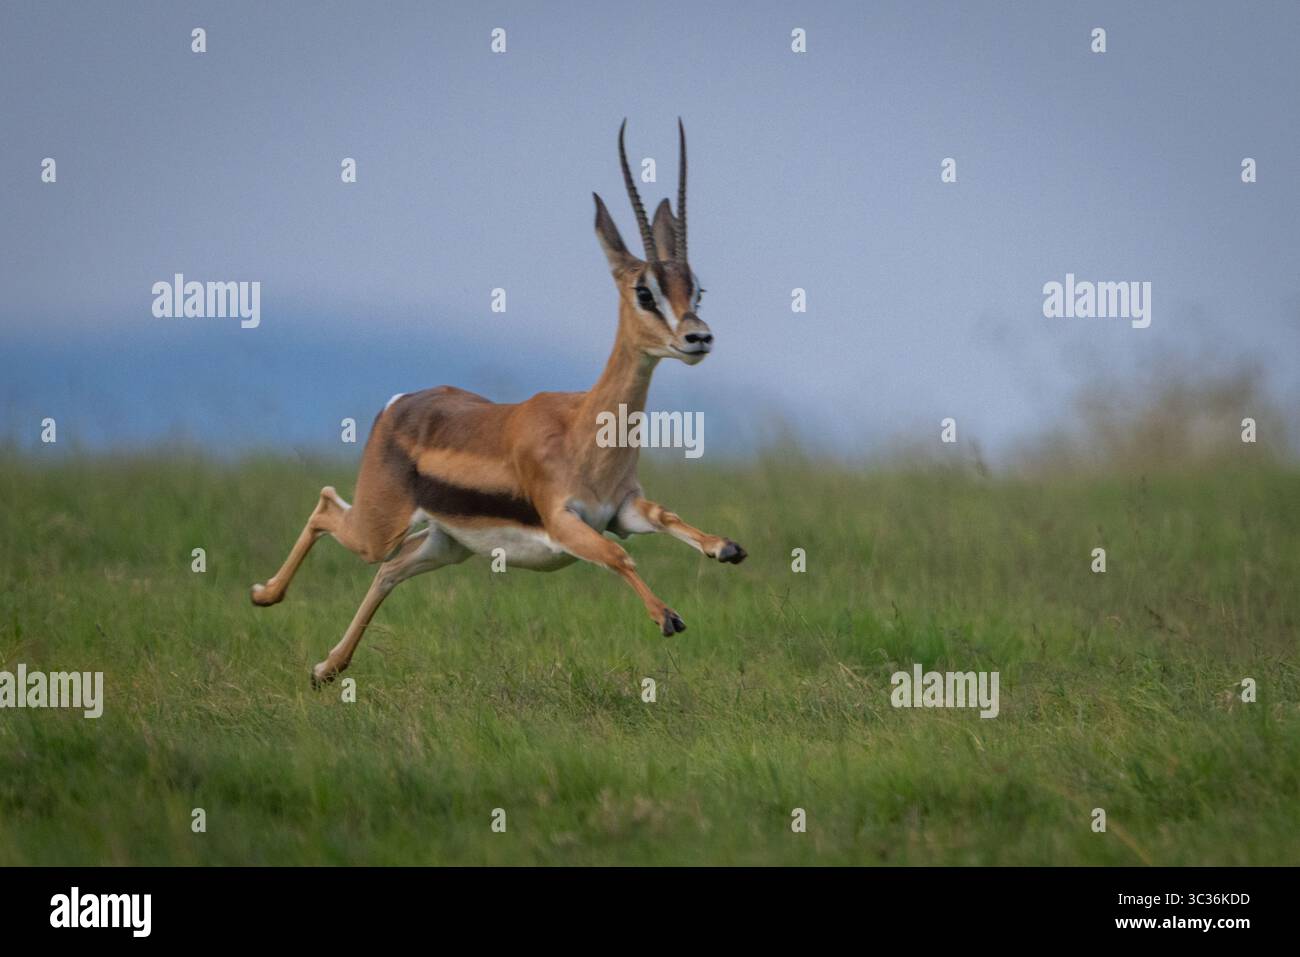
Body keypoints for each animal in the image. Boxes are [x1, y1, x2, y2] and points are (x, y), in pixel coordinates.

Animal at [251, 120, 748, 687]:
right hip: (381, 528)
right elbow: (619, 556)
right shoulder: (564, 522)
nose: (698, 337)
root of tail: (400, 403)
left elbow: (664, 517)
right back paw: (264, 596)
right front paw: (666, 616)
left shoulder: (620, 509)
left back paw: (327, 667)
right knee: (328, 507)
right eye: (645, 292)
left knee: (388, 569)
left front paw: (725, 547)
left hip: (445, 544)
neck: (585, 430)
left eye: (697, 290)